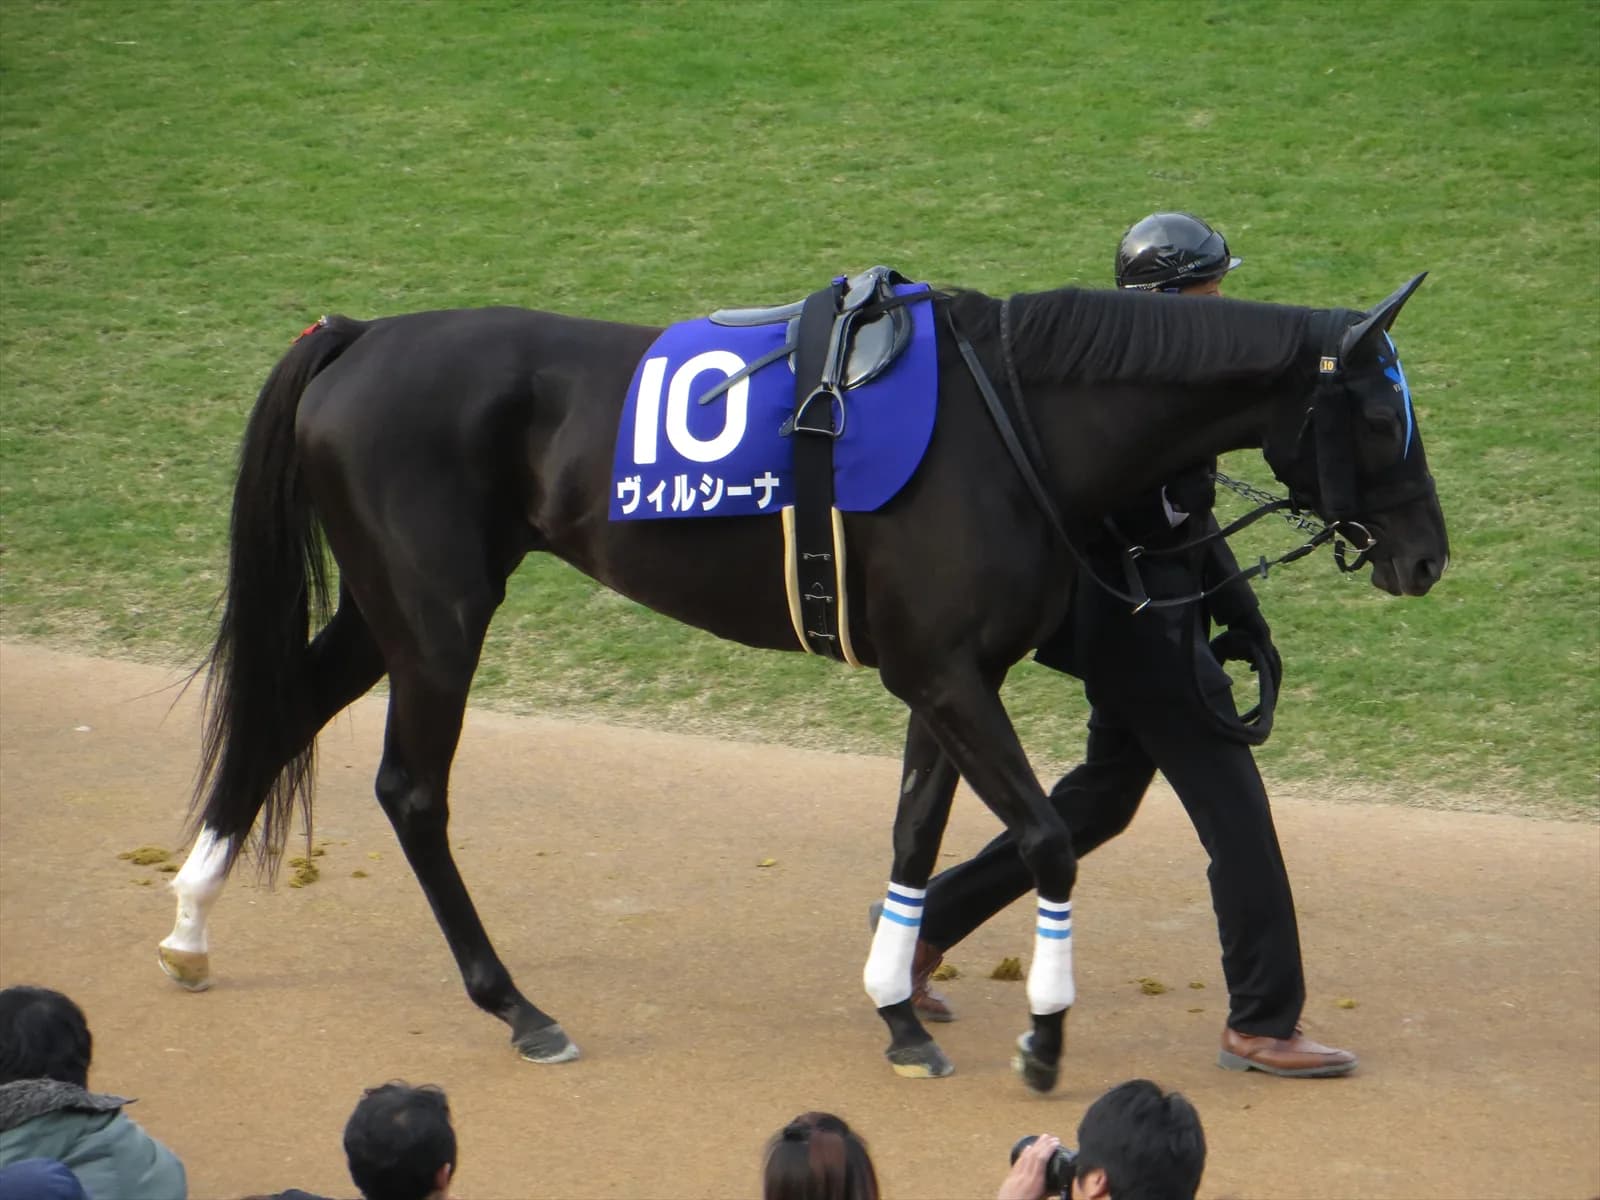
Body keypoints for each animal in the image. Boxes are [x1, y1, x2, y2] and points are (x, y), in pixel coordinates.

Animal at [157, 272, 1447, 1092]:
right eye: (1383, 418)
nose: (1426, 556)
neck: (1012, 421)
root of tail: (358, 334)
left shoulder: (944, 676)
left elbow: (915, 835)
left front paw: (898, 1009)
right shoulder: (945, 674)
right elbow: (1045, 841)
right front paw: (1040, 1040)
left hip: (394, 610)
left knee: (283, 708)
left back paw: (189, 924)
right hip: (437, 614)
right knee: (412, 791)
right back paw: (517, 1008)